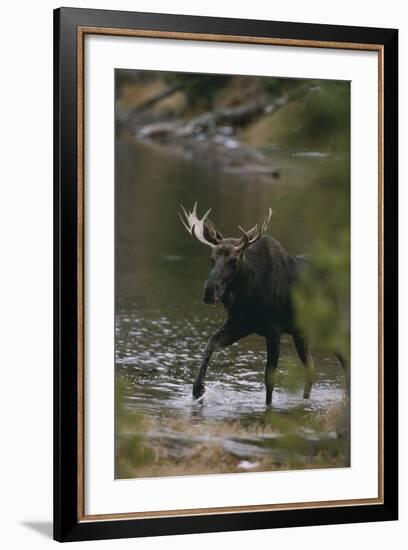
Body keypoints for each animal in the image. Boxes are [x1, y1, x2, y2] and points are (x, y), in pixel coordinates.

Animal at [180, 203, 346, 406]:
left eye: (234, 260)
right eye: (212, 258)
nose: (210, 291)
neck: (248, 294)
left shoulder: (274, 328)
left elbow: (269, 377)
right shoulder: (239, 324)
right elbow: (210, 344)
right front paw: (198, 388)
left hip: (328, 322)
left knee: (342, 355)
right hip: (301, 332)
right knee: (311, 365)